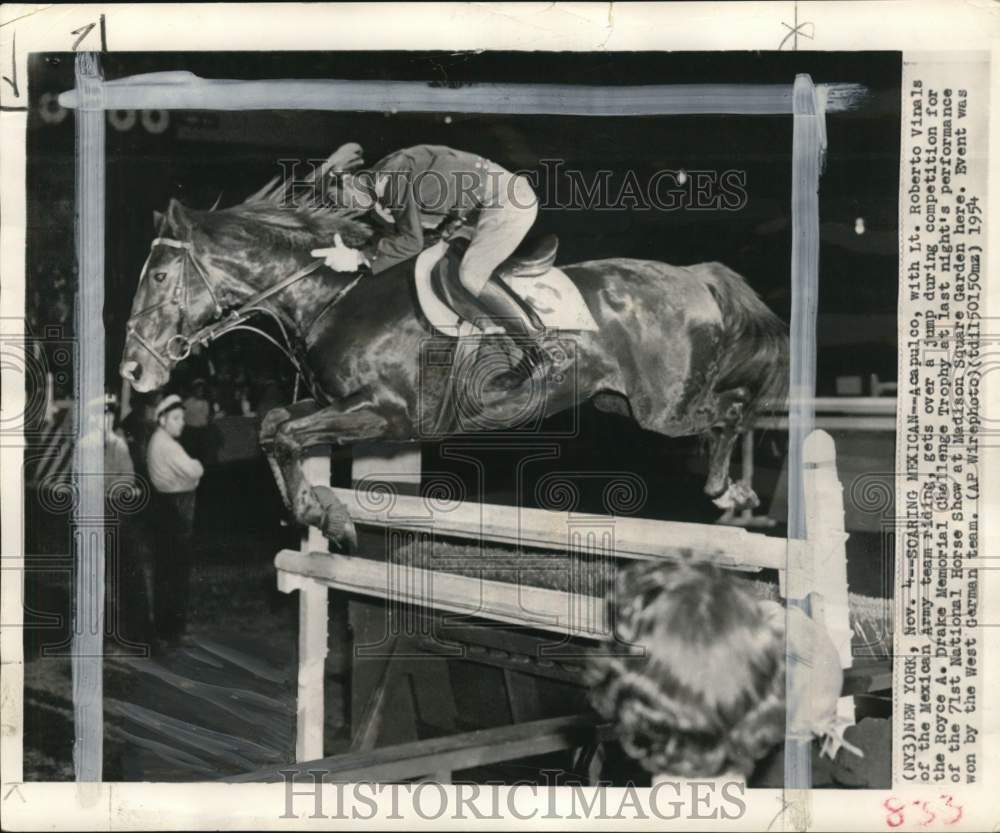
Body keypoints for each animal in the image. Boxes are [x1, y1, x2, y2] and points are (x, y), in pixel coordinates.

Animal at [119, 197, 788, 548]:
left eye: (159, 276)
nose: (133, 370)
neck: (335, 296)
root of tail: (694, 276)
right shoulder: (341, 403)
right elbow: (273, 427)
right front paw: (315, 511)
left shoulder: (386, 412)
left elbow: (283, 433)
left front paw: (324, 516)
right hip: (618, 403)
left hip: (663, 408)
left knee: (729, 410)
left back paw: (732, 492)